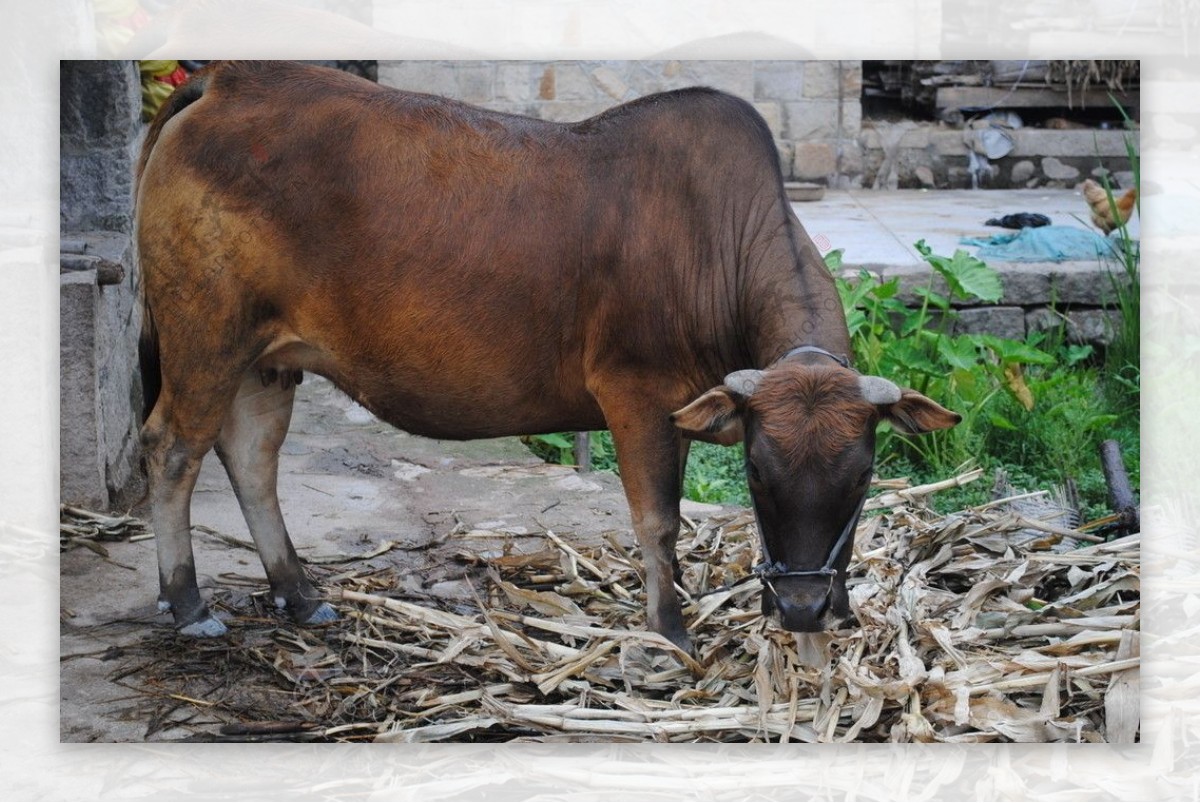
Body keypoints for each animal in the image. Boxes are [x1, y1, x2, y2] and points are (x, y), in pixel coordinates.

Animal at [136, 62, 955, 652]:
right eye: (757, 470)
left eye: (865, 474)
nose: (807, 607)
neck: (714, 236)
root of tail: (223, 80)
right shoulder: (637, 394)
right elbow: (657, 519)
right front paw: (670, 630)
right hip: (204, 331)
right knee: (172, 447)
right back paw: (188, 603)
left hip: (266, 355)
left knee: (251, 457)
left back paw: (300, 593)